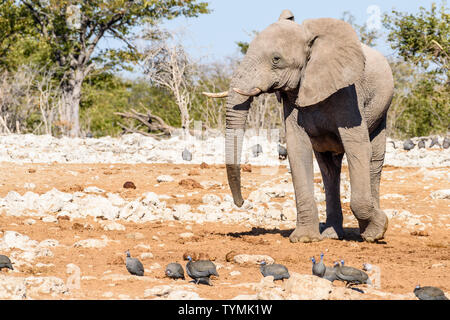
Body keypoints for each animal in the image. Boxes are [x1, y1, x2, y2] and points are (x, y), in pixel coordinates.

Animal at [204, 11, 394, 244]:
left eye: (276, 59)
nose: (241, 203)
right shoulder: (292, 97)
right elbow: (297, 150)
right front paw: (305, 239)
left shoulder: (348, 93)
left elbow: (357, 148)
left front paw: (380, 227)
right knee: (328, 168)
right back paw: (332, 234)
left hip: (381, 109)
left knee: (373, 160)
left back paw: (369, 234)